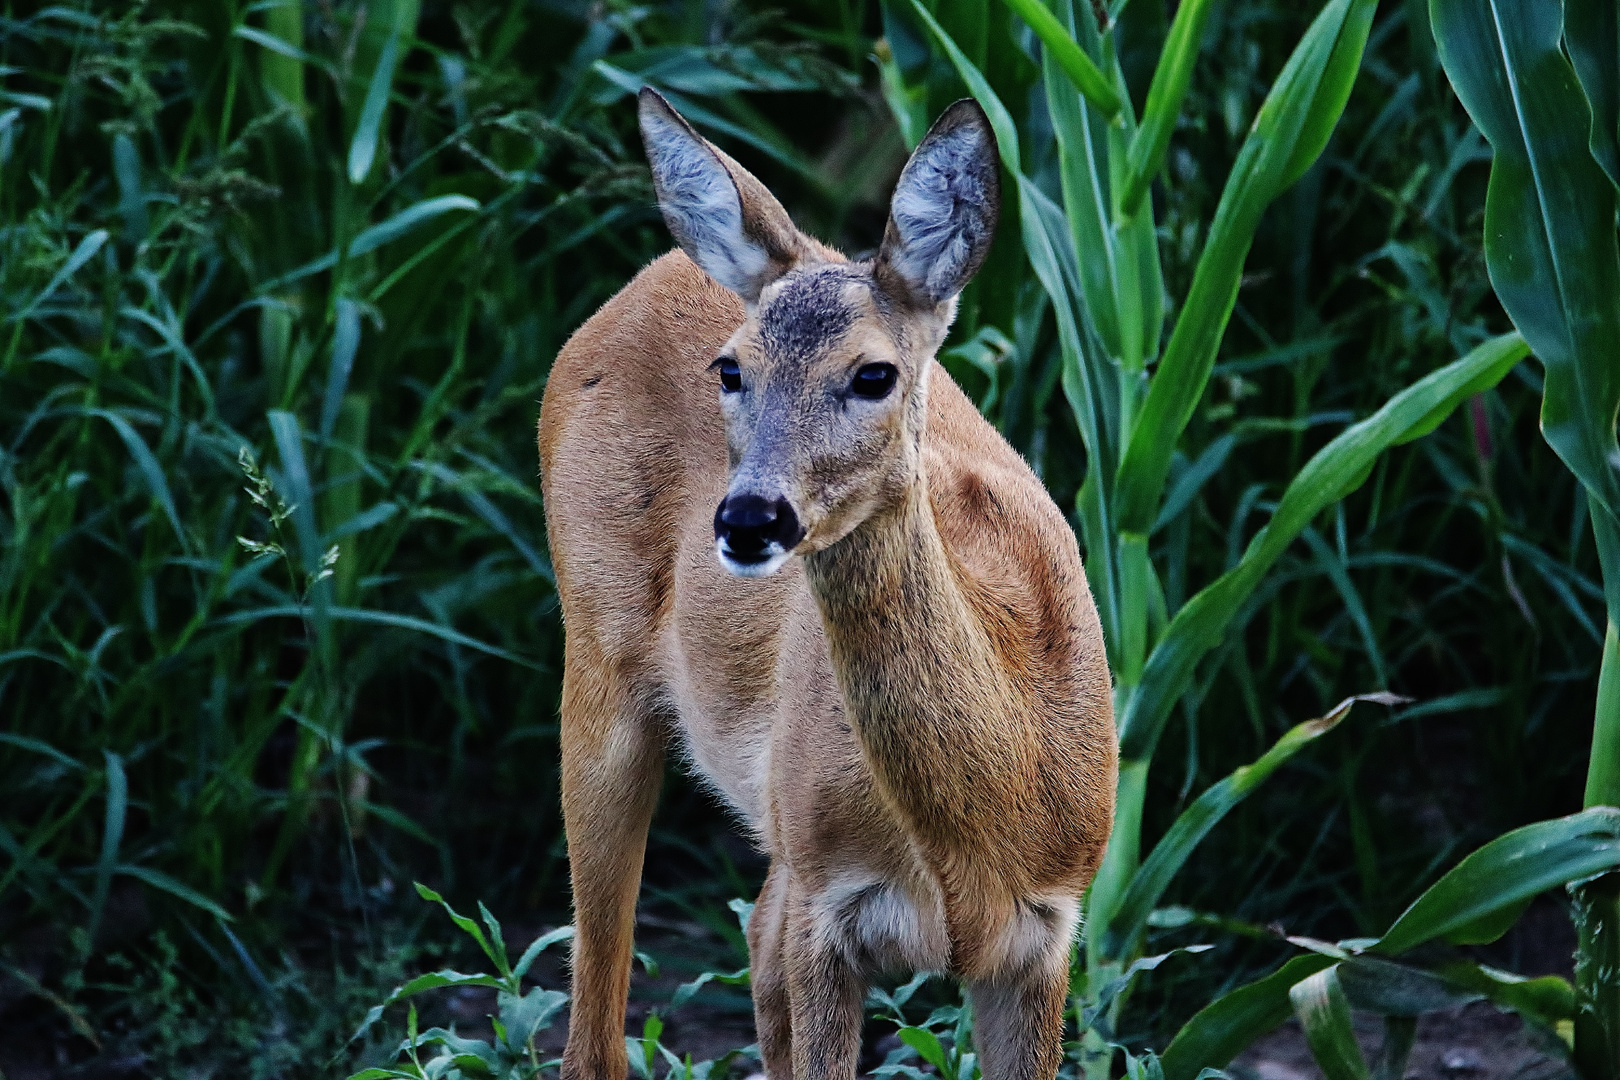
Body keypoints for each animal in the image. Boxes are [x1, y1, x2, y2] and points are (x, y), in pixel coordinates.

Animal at [537, 90, 1121, 1080]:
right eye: (731, 368)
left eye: (874, 373)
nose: (749, 518)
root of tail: (652, 273)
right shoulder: (827, 908)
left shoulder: (1047, 936)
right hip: (600, 663)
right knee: (596, 1025)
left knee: (750, 947)